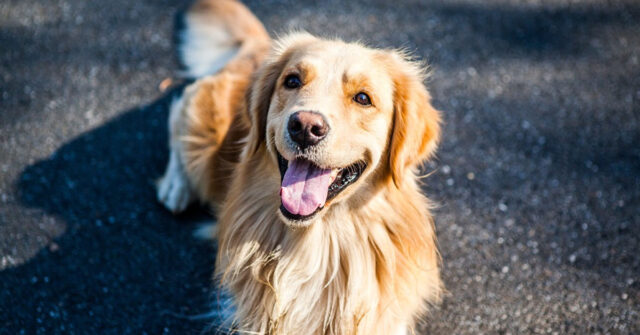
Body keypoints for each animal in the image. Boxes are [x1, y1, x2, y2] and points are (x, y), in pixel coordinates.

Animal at [158, 0, 442, 334]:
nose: (305, 127)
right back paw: (175, 185)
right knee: (178, 110)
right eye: (292, 80)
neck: (318, 242)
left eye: (363, 98)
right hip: (201, 133)